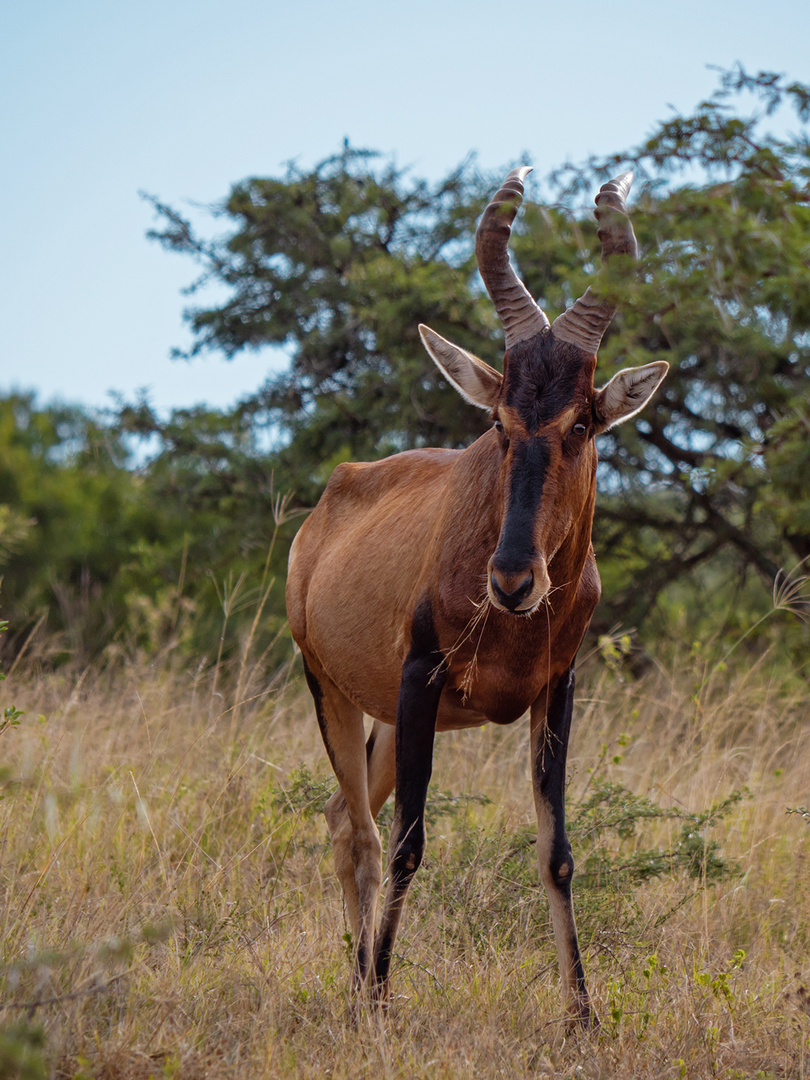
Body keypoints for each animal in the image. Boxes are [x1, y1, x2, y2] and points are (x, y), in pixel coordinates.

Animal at [285, 164, 665, 1023]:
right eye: (499, 420)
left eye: (582, 423)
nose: (513, 580)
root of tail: (331, 496)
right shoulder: (420, 676)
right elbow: (408, 844)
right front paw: (382, 1000)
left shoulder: (556, 690)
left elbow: (557, 851)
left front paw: (582, 1017)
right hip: (332, 687)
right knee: (361, 833)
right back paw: (363, 991)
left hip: (388, 719)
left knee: (342, 816)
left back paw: (355, 979)